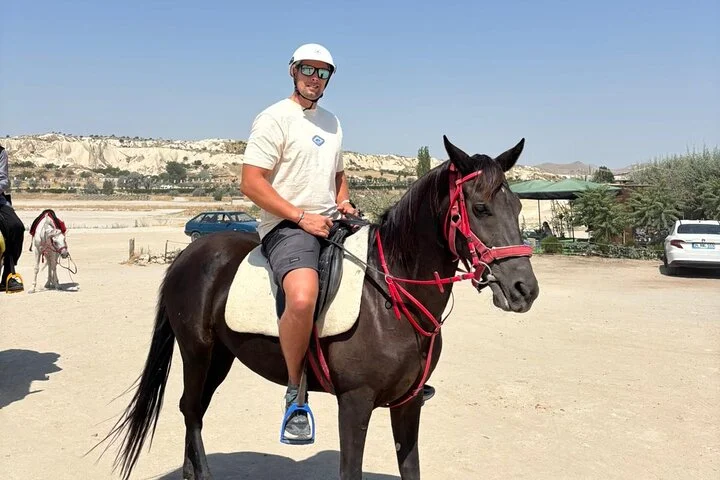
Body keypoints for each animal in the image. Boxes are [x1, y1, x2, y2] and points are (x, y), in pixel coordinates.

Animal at [101, 136, 540, 480]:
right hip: (197, 352)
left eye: (519, 208)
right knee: (191, 410)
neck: (391, 296)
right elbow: (351, 470)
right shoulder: (355, 404)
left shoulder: (408, 405)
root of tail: (188, 256)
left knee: (192, 410)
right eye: (481, 208)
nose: (525, 289)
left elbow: (410, 468)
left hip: (221, 356)